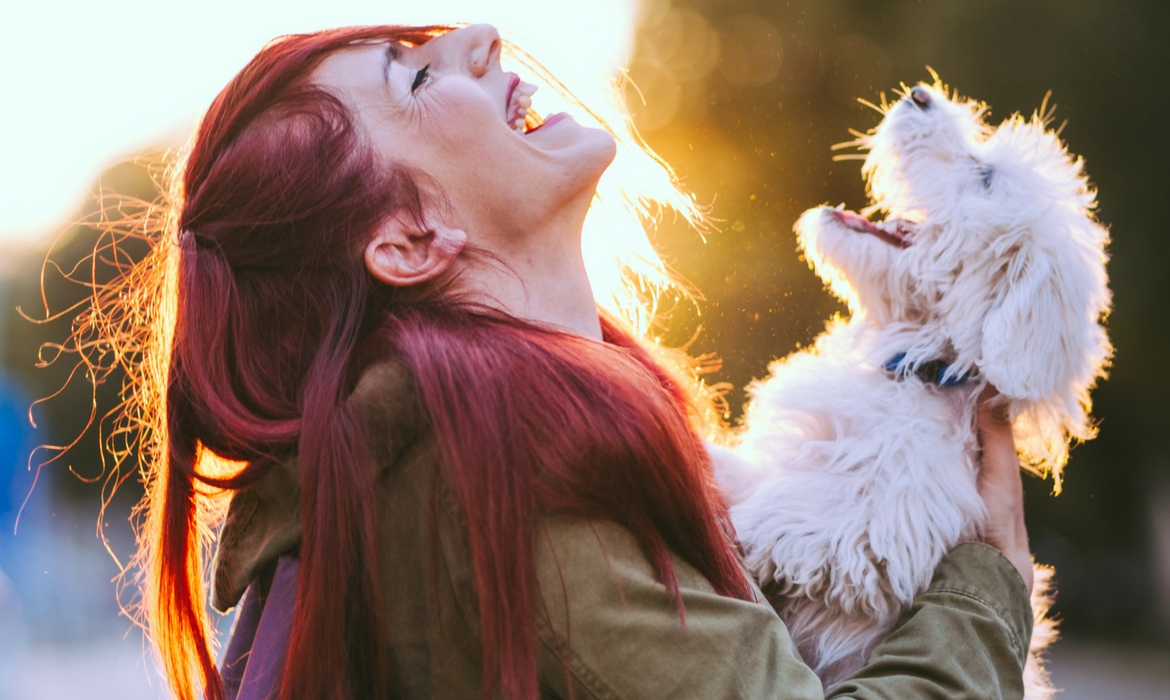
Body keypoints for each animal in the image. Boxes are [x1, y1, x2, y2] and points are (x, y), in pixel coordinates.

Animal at [716, 80, 1109, 697]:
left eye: (984, 177)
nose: (921, 94)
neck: (916, 363)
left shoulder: (892, 525)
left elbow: (821, 522)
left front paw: (756, 529)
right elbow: (744, 469)